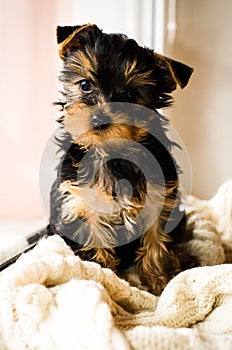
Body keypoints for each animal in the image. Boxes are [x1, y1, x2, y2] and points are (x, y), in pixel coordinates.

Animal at [48, 23, 194, 294]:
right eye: (85, 85)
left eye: (128, 95)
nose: (99, 119)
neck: (112, 154)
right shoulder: (82, 207)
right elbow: (95, 247)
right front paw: (109, 282)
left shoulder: (159, 200)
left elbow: (157, 241)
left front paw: (160, 281)